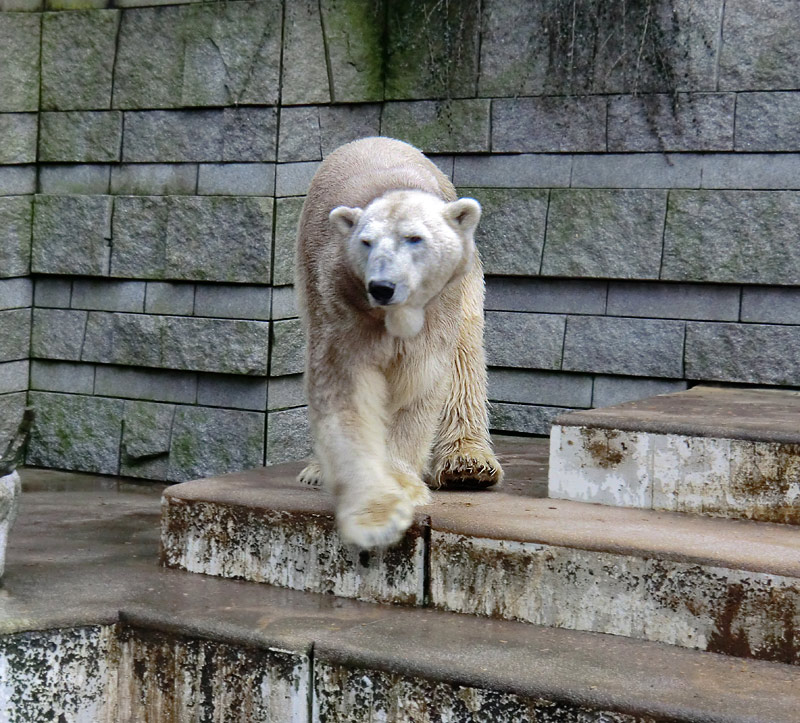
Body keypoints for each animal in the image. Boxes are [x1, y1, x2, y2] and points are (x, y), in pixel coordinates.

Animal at [296, 137, 504, 548]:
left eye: (415, 239)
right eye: (366, 242)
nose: (383, 286)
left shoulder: (435, 311)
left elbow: (418, 381)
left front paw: (400, 483)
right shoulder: (341, 303)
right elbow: (346, 388)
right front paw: (374, 505)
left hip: (466, 282)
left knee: (465, 358)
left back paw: (468, 465)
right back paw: (316, 469)